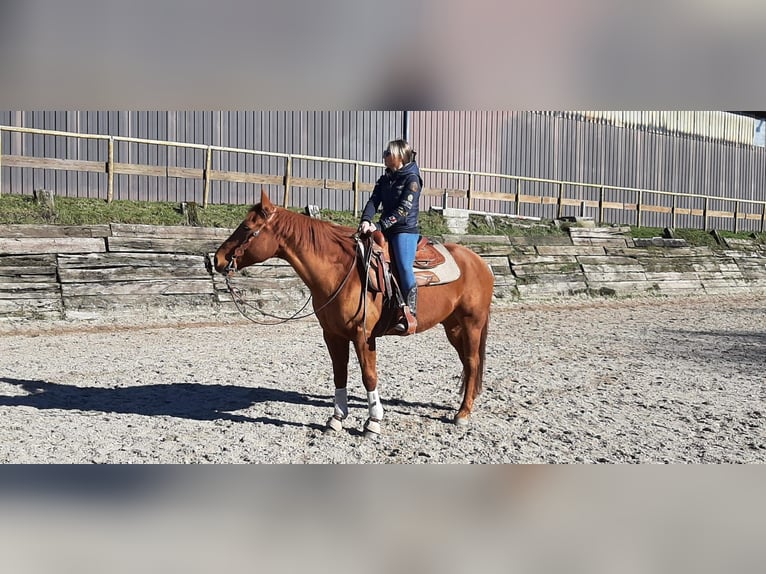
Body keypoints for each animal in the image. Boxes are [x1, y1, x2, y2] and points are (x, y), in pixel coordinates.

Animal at [213, 190, 496, 436]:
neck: (342, 273)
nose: (216, 259)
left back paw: (463, 413)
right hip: (453, 327)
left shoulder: (363, 336)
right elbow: (340, 374)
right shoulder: (333, 335)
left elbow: (369, 376)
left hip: (472, 323)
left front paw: (373, 423)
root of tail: (480, 262)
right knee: (467, 363)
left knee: (472, 361)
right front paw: (336, 419)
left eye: (246, 228)